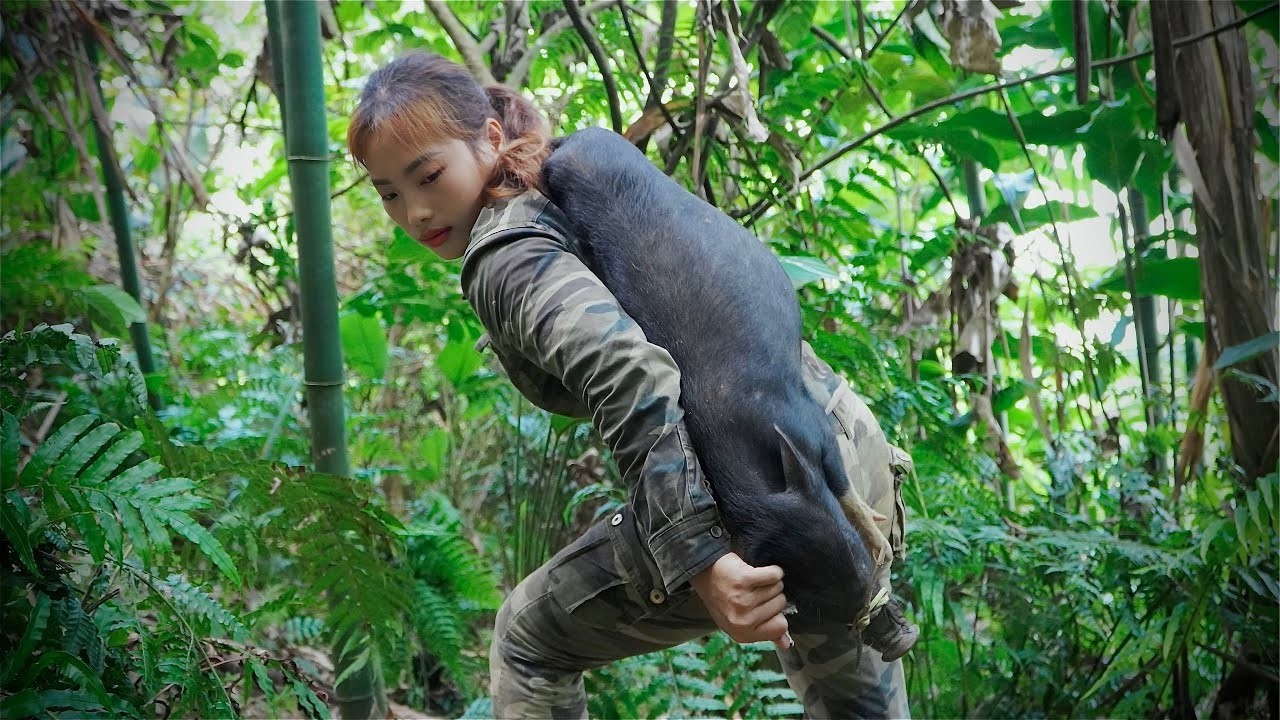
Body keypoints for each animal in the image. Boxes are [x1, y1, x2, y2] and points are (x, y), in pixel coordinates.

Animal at [542, 127, 892, 637]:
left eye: (856, 559)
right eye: (813, 591)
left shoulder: (810, 427)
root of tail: (572, 140)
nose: (866, 602)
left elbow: (844, 486)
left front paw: (879, 536)